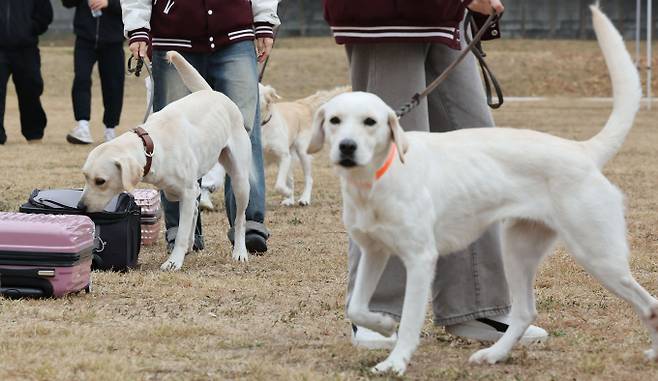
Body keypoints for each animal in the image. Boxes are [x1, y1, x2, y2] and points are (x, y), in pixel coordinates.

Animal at [77, 51, 251, 270]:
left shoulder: (187, 191)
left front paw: (174, 261)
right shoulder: (177, 191)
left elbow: (182, 232)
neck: (151, 145)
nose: (80, 207)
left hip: (240, 181)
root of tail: (212, 93)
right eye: (85, 176)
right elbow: (188, 217)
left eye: (100, 181)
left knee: (240, 218)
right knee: (196, 207)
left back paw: (240, 251)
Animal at [308, 5, 656, 374]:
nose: (346, 147)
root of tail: (581, 150)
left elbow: (411, 321)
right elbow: (357, 307)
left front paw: (396, 362)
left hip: (598, 255)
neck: (375, 180)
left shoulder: (420, 260)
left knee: (650, 304)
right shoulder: (374, 251)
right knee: (524, 311)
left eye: (370, 122)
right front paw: (383, 325)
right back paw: (495, 354)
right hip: (518, 249)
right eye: (334, 120)